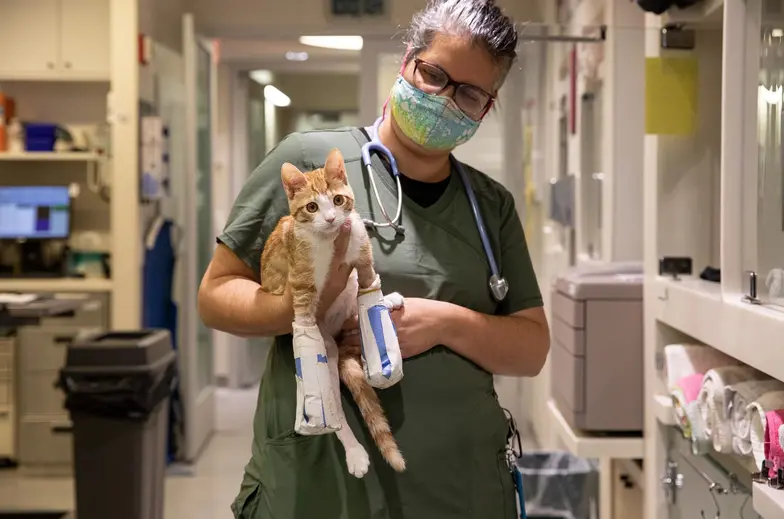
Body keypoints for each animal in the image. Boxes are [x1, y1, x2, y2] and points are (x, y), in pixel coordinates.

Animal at [262, 148, 408, 478]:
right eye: (312, 207)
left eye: (338, 200)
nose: (330, 218)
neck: (329, 244)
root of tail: (338, 338)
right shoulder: (301, 286)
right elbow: (303, 320)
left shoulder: (361, 254)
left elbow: (369, 283)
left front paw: (381, 304)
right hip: (325, 351)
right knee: (336, 412)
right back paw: (353, 451)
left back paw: (388, 301)